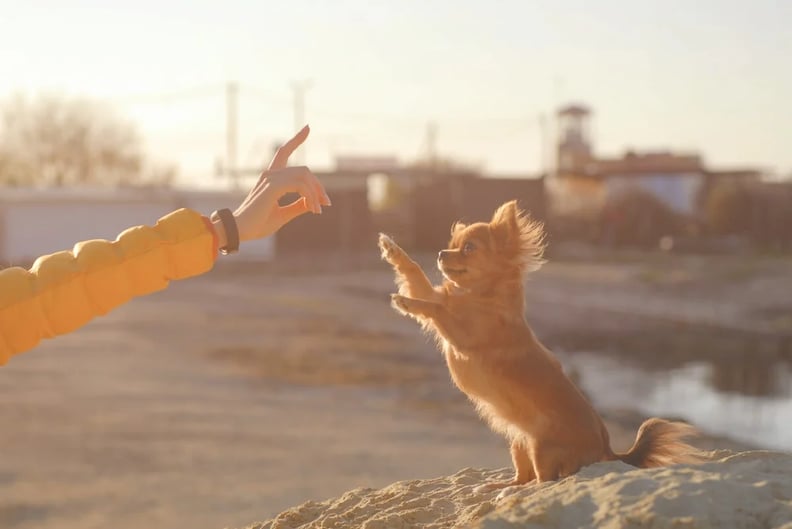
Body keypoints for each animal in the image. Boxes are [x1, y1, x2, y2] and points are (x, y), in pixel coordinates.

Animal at [378, 199, 704, 486]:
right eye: (452, 243)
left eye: (468, 248)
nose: (441, 253)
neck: (479, 295)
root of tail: (607, 449)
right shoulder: (441, 299)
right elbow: (419, 279)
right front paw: (393, 249)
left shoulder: (463, 335)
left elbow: (437, 309)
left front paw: (406, 302)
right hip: (518, 442)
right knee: (523, 477)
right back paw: (500, 486)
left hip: (540, 448)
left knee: (542, 480)